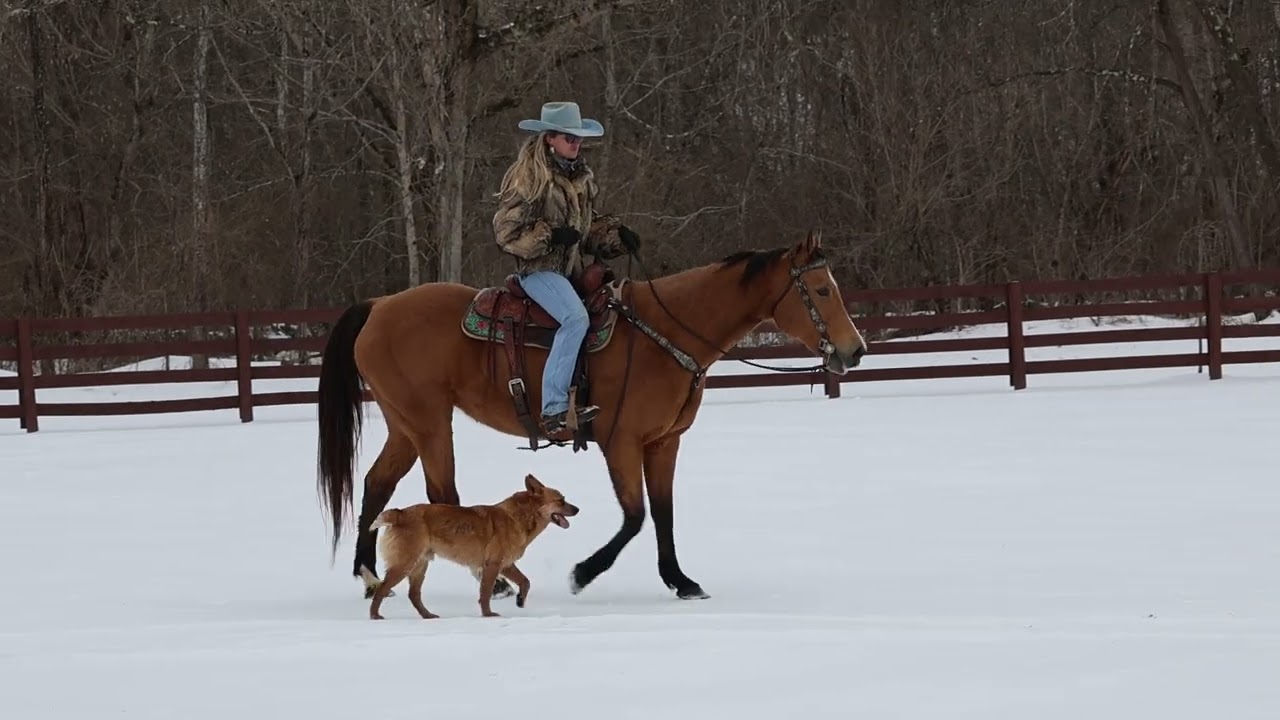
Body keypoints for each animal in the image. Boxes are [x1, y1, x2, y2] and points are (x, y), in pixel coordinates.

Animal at [315, 229, 868, 602]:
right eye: (821, 290)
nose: (855, 350)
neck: (665, 333)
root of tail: (379, 305)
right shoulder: (620, 441)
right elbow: (635, 515)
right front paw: (582, 572)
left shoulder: (663, 442)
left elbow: (663, 512)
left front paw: (681, 581)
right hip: (429, 422)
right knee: (440, 494)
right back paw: (490, 582)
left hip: (404, 423)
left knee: (377, 483)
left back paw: (369, 576)